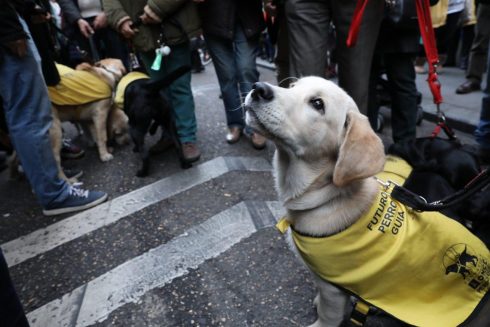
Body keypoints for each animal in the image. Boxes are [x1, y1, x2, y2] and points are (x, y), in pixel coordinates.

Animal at [245, 77, 490, 327]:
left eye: (317, 103)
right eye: (292, 86)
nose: (258, 88)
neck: (326, 197)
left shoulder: (332, 289)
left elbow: (327, 314)